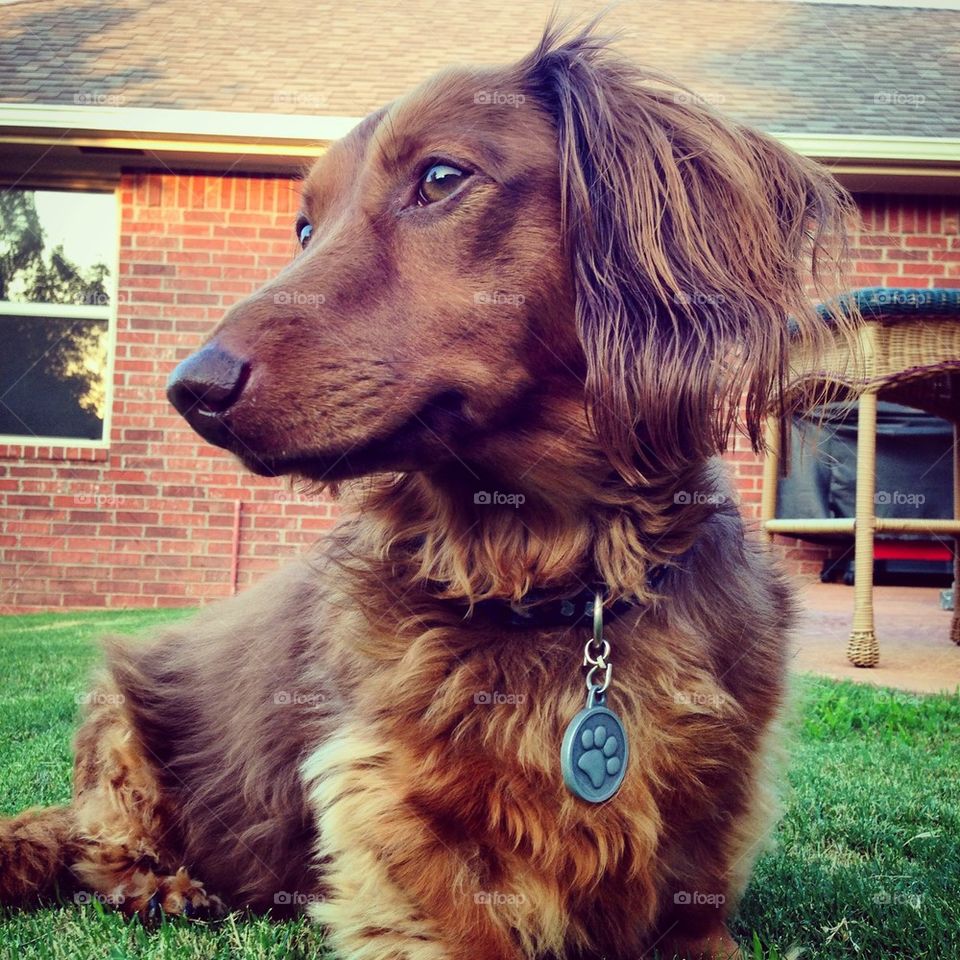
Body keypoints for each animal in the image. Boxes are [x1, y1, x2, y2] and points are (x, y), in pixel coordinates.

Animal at [3, 22, 852, 960]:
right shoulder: (389, 812)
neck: (551, 583)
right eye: (305, 225)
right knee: (93, 839)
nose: (192, 388)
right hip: (120, 708)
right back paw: (157, 884)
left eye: (441, 178)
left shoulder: (707, 844)